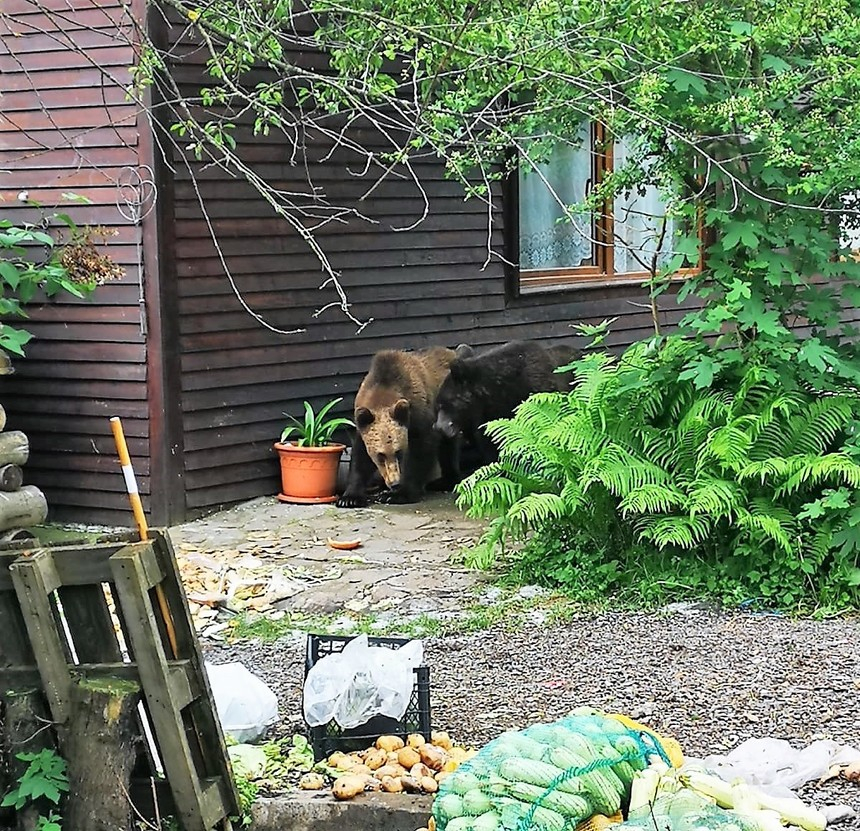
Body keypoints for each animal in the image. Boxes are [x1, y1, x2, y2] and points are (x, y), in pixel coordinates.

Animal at [338, 344, 470, 508]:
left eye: (398, 451)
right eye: (380, 455)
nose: (394, 483)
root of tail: (453, 352)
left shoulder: (419, 416)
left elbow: (420, 450)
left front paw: (398, 494)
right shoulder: (364, 422)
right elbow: (360, 457)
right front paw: (349, 498)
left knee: (448, 448)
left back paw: (445, 481)